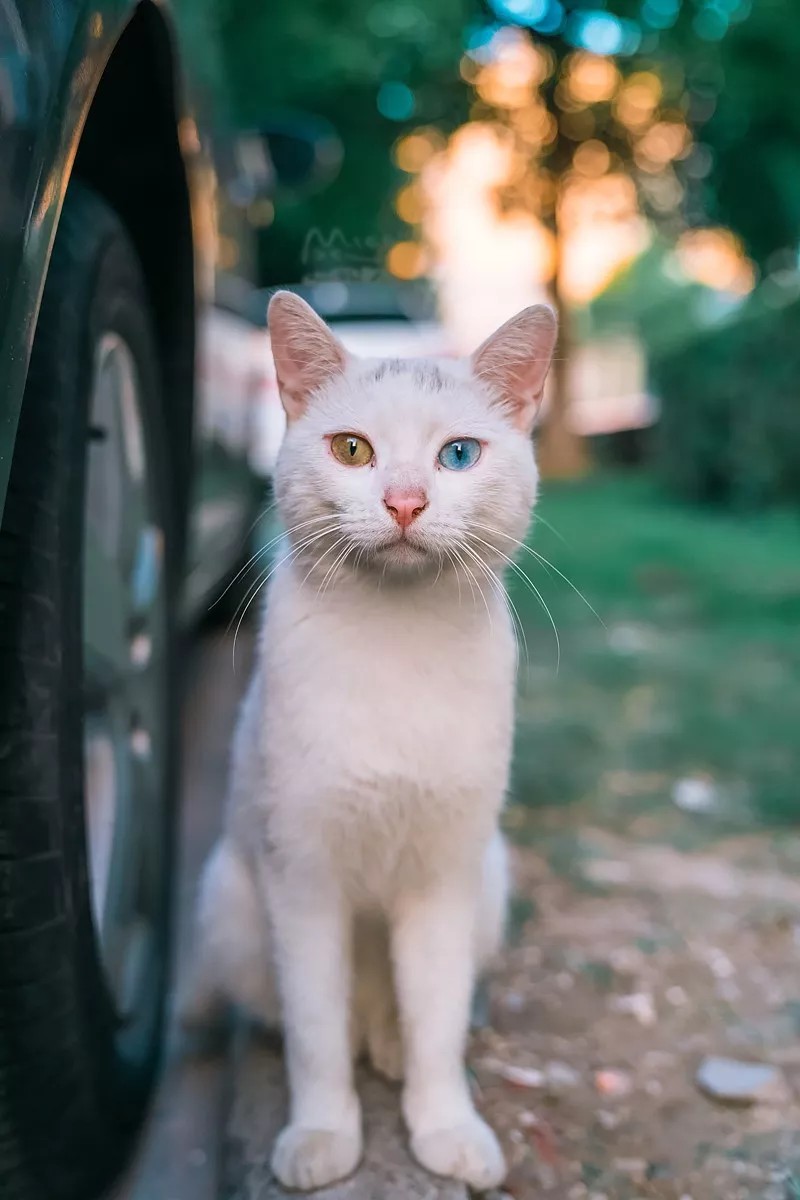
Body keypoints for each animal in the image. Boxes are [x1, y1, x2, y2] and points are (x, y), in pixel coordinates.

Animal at [181, 288, 556, 1190]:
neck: (398, 642)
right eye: (352, 450)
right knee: (283, 1010)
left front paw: (445, 1126)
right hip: (233, 901)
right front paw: (322, 1135)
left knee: (396, 1009)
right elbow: (316, 1029)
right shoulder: (304, 879)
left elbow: (438, 1021)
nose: (406, 502)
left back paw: (385, 1044)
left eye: (458, 455)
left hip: (491, 880)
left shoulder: (445, 879)